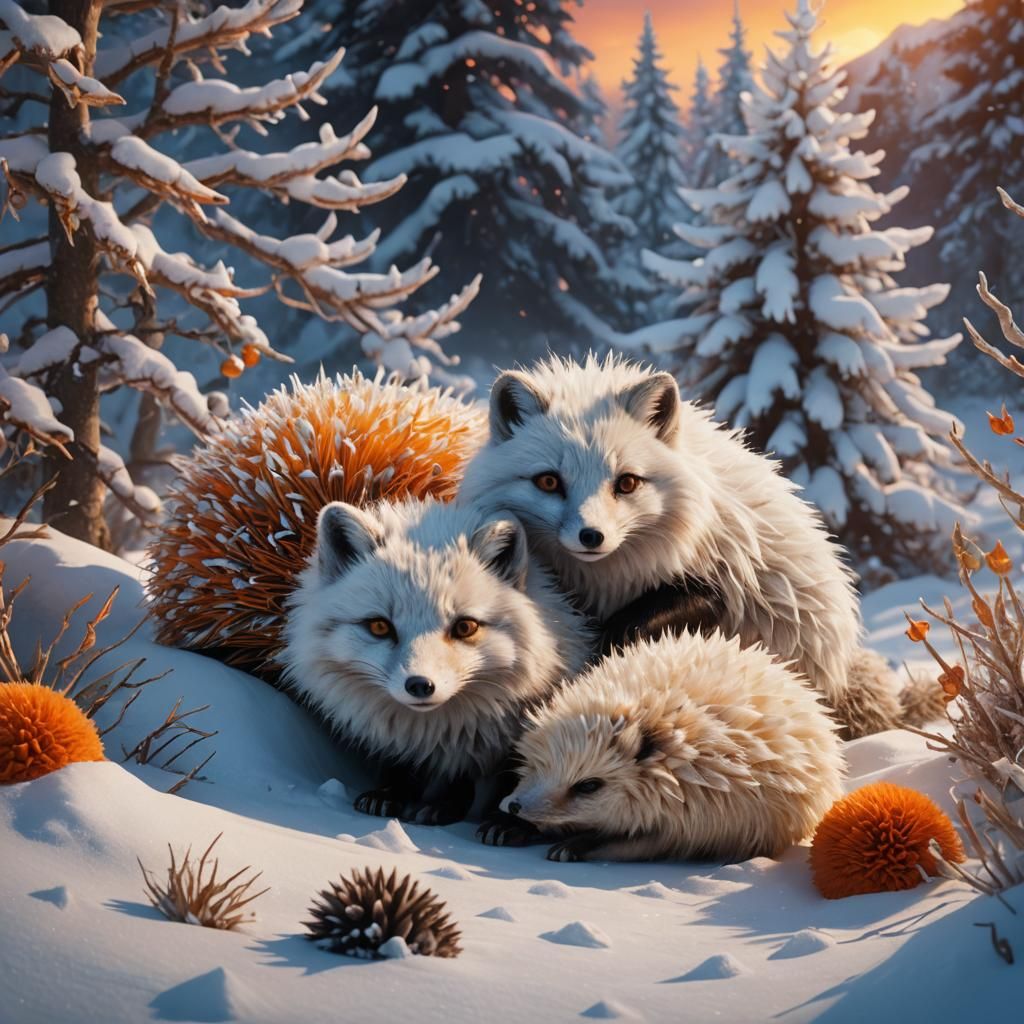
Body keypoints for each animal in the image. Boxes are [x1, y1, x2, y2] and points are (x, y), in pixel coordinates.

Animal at [282, 496, 593, 825]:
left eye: (465, 627)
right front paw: (390, 794)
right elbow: (400, 766)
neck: (431, 729)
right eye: (379, 626)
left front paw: (452, 809)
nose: (420, 685)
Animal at [458, 353, 905, 740]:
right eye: (549, 481)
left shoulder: (714, 587)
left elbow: (632, 628)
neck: (603, 583)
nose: (592, 536)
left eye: (627, 482)